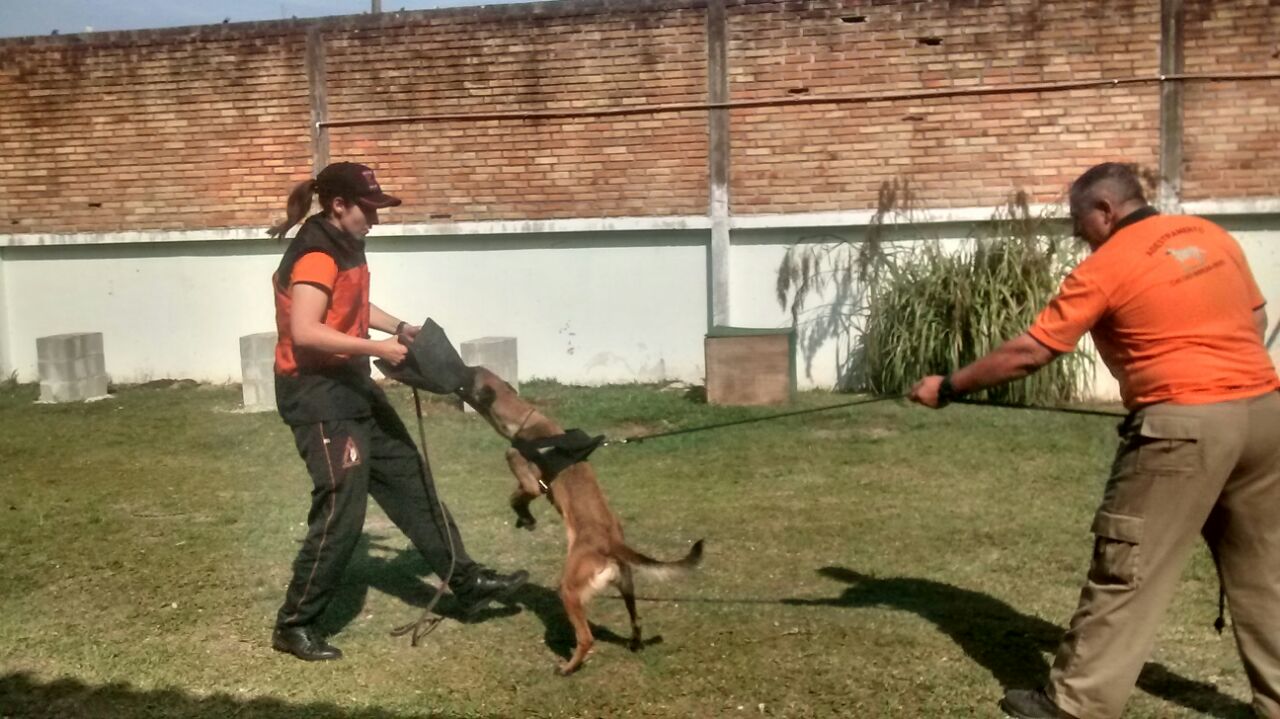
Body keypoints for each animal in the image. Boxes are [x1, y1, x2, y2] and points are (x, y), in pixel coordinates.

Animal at [459, 366, 704, 675]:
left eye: (470, 375)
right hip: (627, 587)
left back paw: (568, 667)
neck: (525, 420)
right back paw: (634, 644)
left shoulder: (529, 481)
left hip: (569, 589)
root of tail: (610, 543)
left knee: (586, 638)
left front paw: (525, 518)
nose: (458, 371)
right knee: (636, 620)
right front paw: (525, 520)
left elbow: (515, 497)